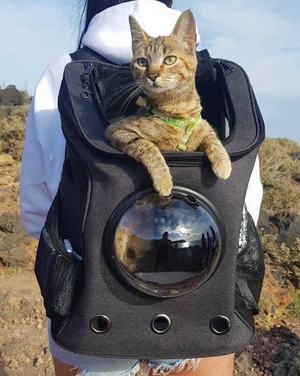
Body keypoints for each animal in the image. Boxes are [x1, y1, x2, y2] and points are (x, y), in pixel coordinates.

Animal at [105, 8, 232, 197]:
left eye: (170, 60)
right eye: (142, 61)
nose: (152, 75)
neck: (179, 110)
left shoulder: (203, 124)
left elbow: (213, 138)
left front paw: (223, 162)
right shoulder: (116, 130)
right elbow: (147, 146)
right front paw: (163, 179)